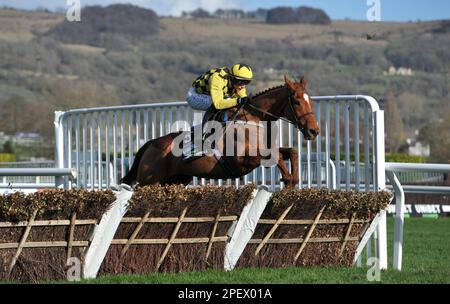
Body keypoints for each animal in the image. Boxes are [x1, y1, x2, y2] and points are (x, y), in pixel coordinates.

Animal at [120, 75, 320, 188]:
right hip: (149, 182)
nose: (314, 130)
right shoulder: (241, 160)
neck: (252, 119)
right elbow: (276, 156)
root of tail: (150, 144)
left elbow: (291, 152)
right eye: (296, 102)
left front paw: (292, 181)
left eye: (310, 100)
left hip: (174, 180)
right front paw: (287, 178)